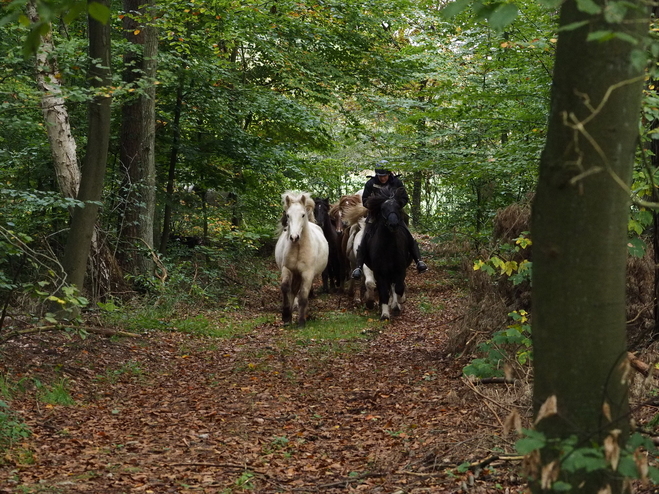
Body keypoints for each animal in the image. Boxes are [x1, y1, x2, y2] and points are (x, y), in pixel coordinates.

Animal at [274, 191, 328, 326]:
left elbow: (303, 295)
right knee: (293, 290)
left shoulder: (307, 273)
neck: (298, 247)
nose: (294, 237)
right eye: (288, 215)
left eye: (303, 215)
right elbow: (285, 288)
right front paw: (286, 316)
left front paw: (301, 322)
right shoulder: (287, 269)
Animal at [360, 189, 412, 320]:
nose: (393, 224)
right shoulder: (380, 273)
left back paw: (395, 304)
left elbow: (398, 287)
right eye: (383, 208)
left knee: (394, 286)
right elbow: (383, 292)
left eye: (397, 207)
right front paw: (384, 314)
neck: (388, 248)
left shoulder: (400, 270)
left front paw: (398, 302)